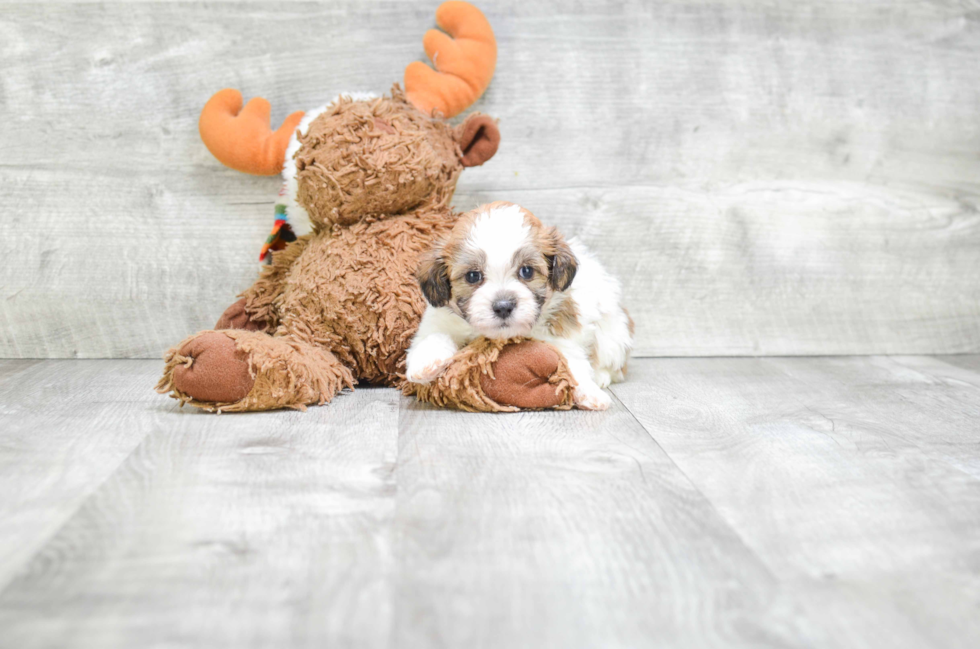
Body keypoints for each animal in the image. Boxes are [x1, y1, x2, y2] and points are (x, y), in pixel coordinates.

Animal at [406, 200, 636, 408]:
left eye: (527, 271)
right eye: (473, 276)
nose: (503, 306)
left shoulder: (562, 332)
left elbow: (570, 360)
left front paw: (590, 393)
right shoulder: (440, 319)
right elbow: (435, 336)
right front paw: (424, 364)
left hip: (613, 334)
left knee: (614, 365)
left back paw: (602, 376)